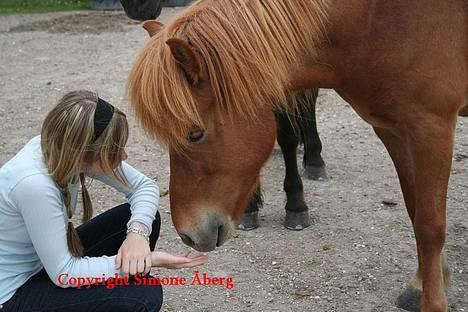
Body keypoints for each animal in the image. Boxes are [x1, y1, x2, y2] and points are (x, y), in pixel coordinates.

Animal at [126, 1, 466, 310]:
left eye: (195, 134)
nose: (188, 235)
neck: (377, 21)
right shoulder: (393, 131)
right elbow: (414, 209)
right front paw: (421, 284)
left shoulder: (431, 128)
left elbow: (430, 225)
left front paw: (433, 300)